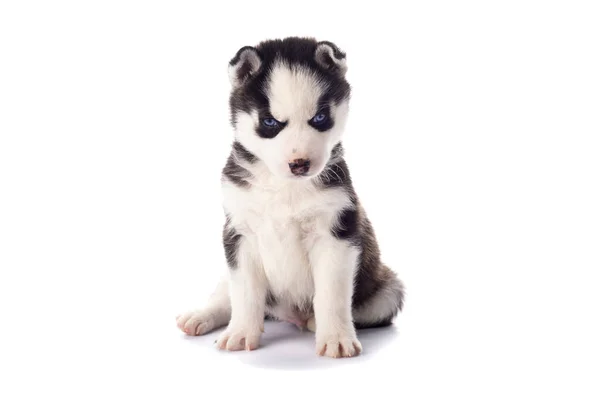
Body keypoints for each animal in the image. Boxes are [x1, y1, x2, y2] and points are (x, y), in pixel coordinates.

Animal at [177, 36, 404, 358]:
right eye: (270, 122)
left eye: (320, 118)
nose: (300, 164)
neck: (284, 186)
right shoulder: (240, 233)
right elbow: (244, 292)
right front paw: (241, 332)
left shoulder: (336, 233)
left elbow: (331, 294)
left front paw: (336, 338)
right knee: (226, 292)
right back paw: (200, 316)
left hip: (389, 291)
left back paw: (313, 321)